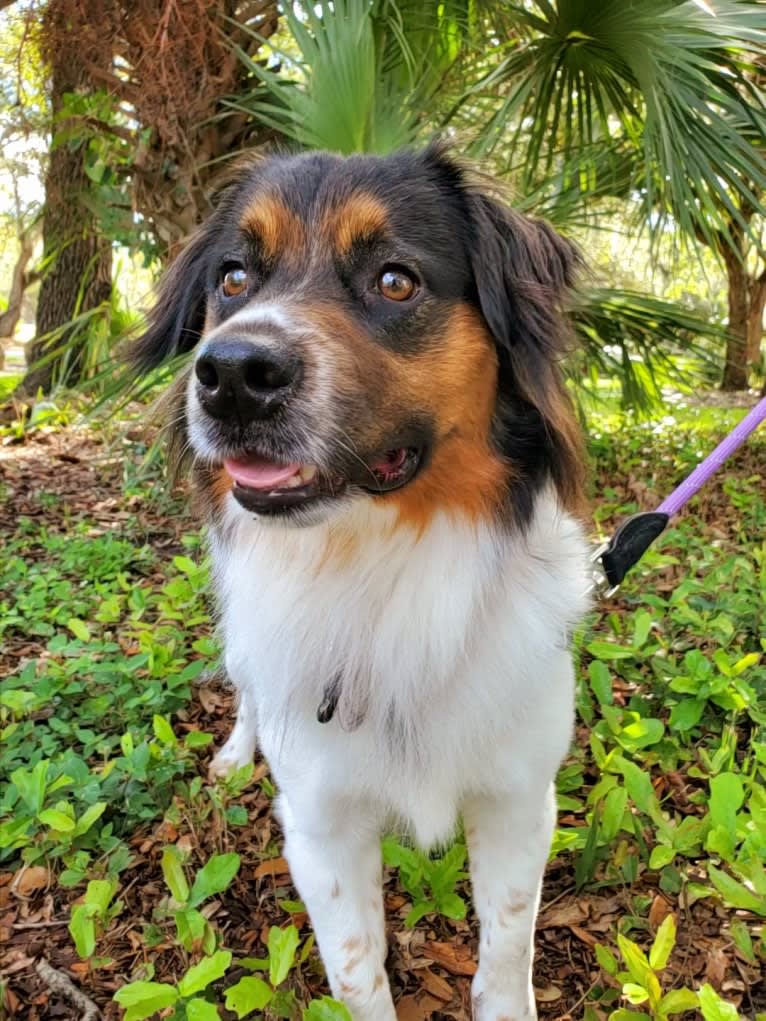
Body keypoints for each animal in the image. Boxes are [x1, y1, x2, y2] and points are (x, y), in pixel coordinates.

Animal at [134, 146, 592, 1021]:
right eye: (233, 278)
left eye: (395, 281)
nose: (231, 374)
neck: (377, 572)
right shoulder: (320, 826)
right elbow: (356, 969)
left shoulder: (520, 799)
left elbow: (507, 944)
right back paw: (235, 754)